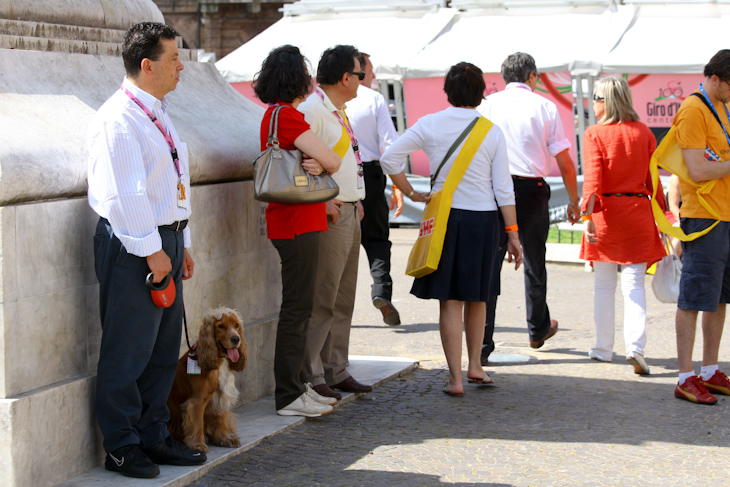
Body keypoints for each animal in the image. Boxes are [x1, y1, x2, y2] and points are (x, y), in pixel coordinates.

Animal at [167, 308, 247, 454]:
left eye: (236, 325)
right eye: (221, 326)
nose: (236, 339)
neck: (219, 360)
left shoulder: (223, 394)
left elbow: (222, 418)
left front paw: (225, 438)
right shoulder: (197, 400)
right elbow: (197, 423)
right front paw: (198, 445)